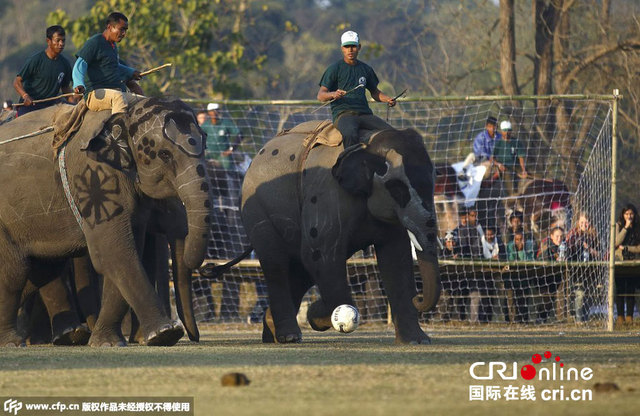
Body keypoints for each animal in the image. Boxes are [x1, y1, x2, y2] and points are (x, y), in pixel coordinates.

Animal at [0, 97, 212, 348]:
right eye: (165, 154)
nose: (192, 336)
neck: (126, 111)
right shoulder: (95, 181)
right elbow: (114, 252)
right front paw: (164, 334)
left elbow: (123, 253)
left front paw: (107, 342)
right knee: (15, 271)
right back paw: (15, 342)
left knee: (43, 268)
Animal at [239, 120, 440, 344]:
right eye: (397, 188)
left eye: (435, 180)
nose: (418, 298)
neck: (368, 143)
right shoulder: (327, 196)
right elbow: (322, 256)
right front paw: (320, 315)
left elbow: (396, 260)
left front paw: (417, 341)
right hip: (256, 209)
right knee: (277, 264)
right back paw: (288, 335)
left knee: (300, 270)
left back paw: (272, 331)